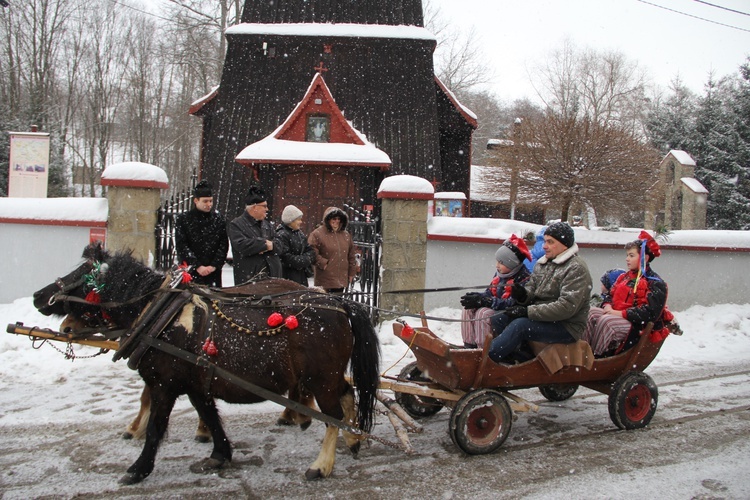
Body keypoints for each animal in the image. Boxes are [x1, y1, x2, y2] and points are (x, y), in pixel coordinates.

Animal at [32, 242, 382, 484]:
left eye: (81, 278)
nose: (38, 296)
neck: (160, 316)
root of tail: (340, 304)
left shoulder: (164, 385)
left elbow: (156, 428)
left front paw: (138, 469)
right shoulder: (195, 383)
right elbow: (210, 416)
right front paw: (219, 454)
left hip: (320, 378)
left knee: (333, 415)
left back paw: (321, 465)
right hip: (327, 377)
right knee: (347, 395)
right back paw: (352, 440)